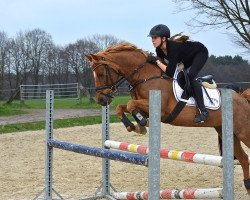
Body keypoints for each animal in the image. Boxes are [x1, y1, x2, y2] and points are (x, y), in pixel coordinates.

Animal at [85, 41, 250, 194]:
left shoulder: (160, 109)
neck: (145, 75)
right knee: (243, 158)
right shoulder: (145, 107)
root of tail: (242, 98)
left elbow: (131, 105)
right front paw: (134, 125)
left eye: (100, 73)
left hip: (243, 131)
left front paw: (141, 123)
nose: (101, 100)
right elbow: (122, 107)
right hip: (226, 131)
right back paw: (247, 186)